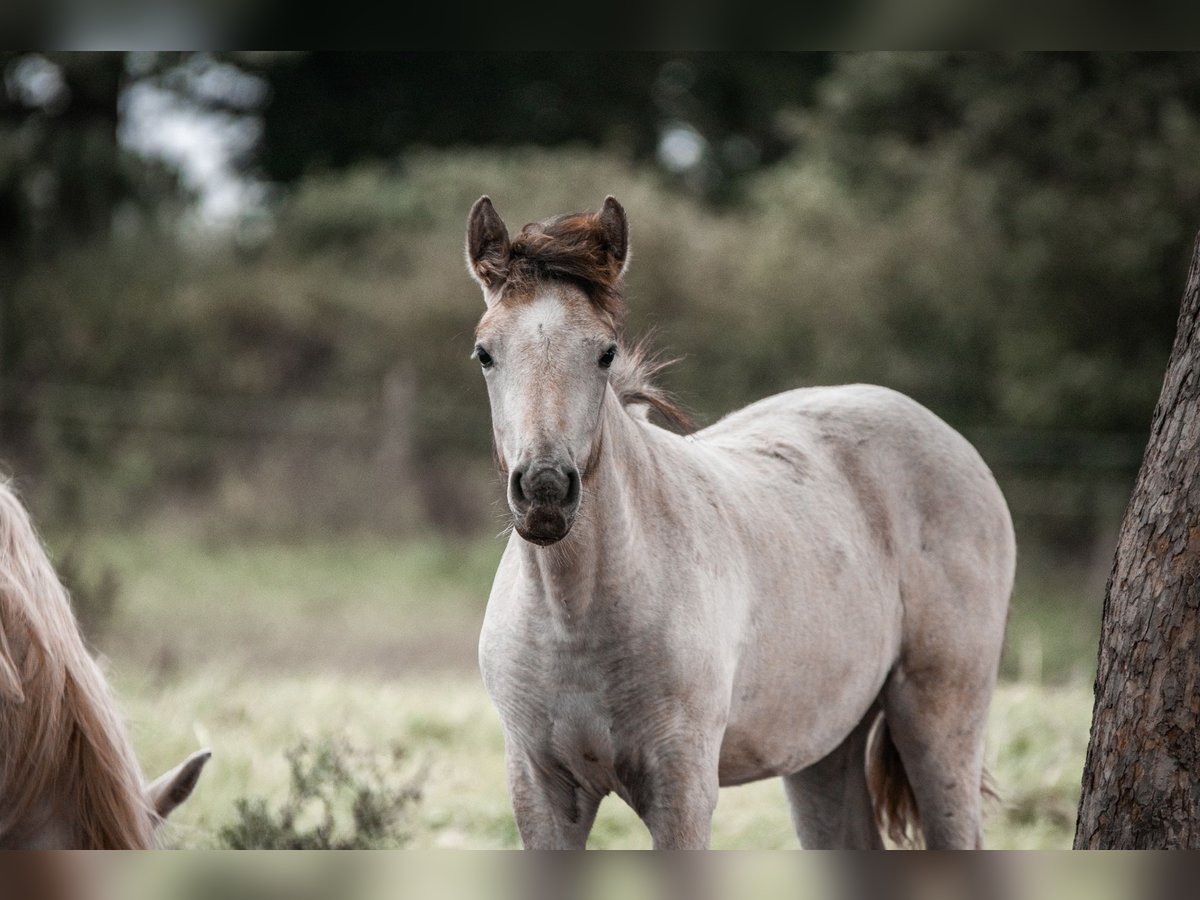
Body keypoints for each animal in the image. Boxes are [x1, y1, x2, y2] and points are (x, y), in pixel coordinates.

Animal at [468, 194, 1012, 849]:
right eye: (485, 353)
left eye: (605, 353)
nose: (545, 490)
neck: (574, 617)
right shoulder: (541, 793)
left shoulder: (681, 791)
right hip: (823, 747)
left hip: (938, 721)